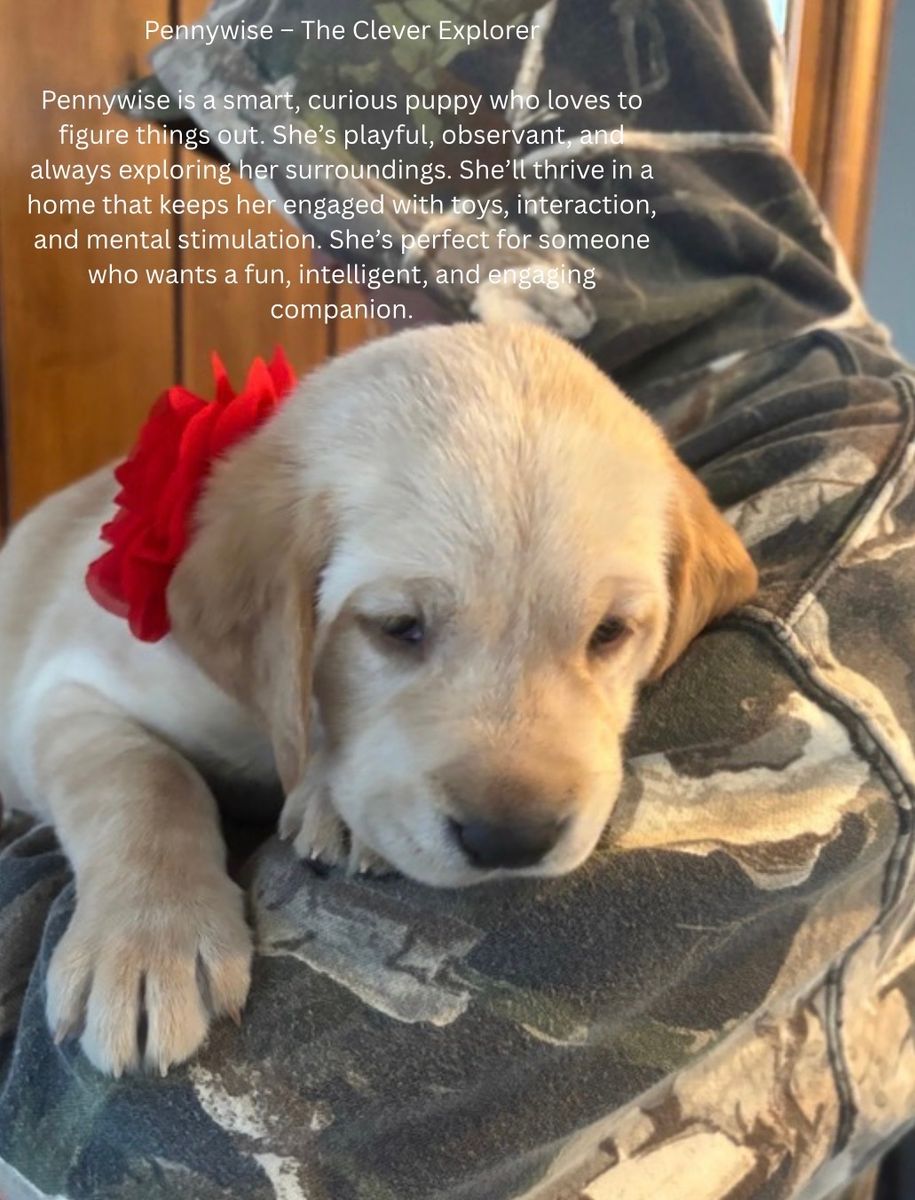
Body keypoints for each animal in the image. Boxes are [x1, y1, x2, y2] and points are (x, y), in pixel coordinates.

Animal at [0, 323, 756, 1075]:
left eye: (609, 632)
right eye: (398, 627)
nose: (510, 839)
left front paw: (332, 805)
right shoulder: (65, 690)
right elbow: (143, 781)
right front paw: (149, 941)